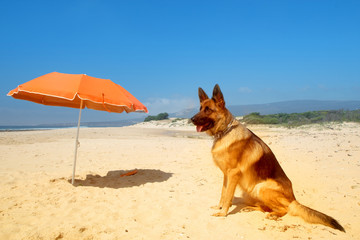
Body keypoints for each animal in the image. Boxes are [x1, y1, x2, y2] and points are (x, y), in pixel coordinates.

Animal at [191, 85, 346, 232]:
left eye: (208, 110)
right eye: (200, 109)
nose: (191, 119)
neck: (225, 132)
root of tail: (294, 199)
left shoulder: (233, 174)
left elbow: (228, 195)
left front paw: (223, 213)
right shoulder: (226, 175)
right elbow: (223, 193)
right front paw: (219, 207)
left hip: (262, 188)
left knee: (285, 209)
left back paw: (274, 215)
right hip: (249, 192)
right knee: (265, 207)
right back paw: (251, 209)